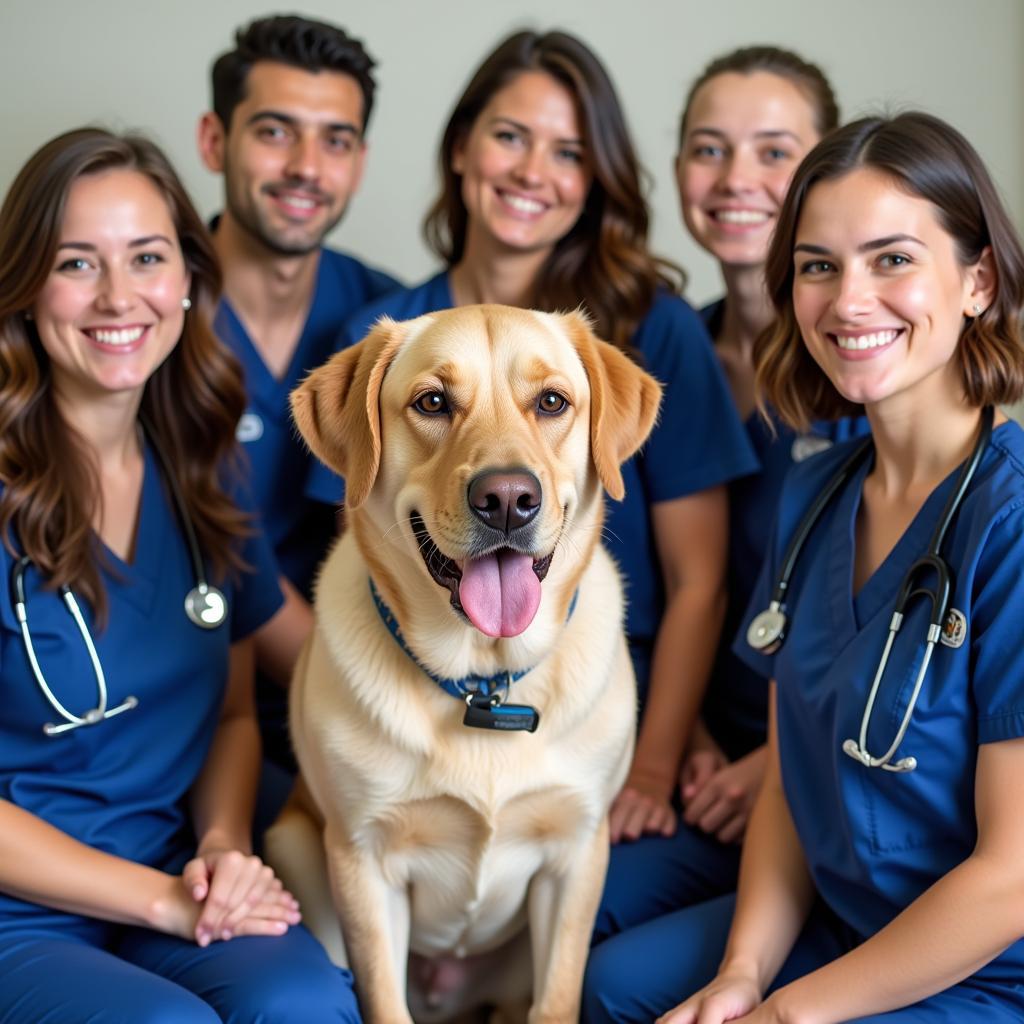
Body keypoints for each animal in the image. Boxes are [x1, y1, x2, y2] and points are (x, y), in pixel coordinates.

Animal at [268, 305, 659, 1024]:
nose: (506, 498)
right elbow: (383, 1001)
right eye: (432, 402)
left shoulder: (577, 854)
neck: (484, 680)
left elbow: (557, 998)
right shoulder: (364, 861)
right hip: (298, 855)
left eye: (552, 402)